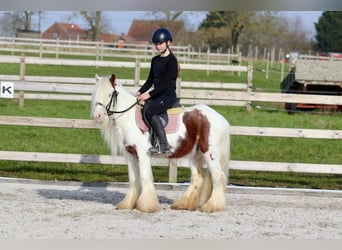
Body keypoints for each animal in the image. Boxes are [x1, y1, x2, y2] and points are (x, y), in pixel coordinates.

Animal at [91, 73, 231, 213]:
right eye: (95, 94)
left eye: (110, 94)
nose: (98, 116)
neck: (128, 118)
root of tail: (221, 118)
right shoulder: (130, 155)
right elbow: (133, 179)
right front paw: (127, 204)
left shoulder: (142, 154)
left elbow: (145, 177)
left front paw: (146, 206)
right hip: (194, 154)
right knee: (198, 177)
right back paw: (184, 204)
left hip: (210, 153)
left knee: (218, 176)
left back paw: (212, 206)